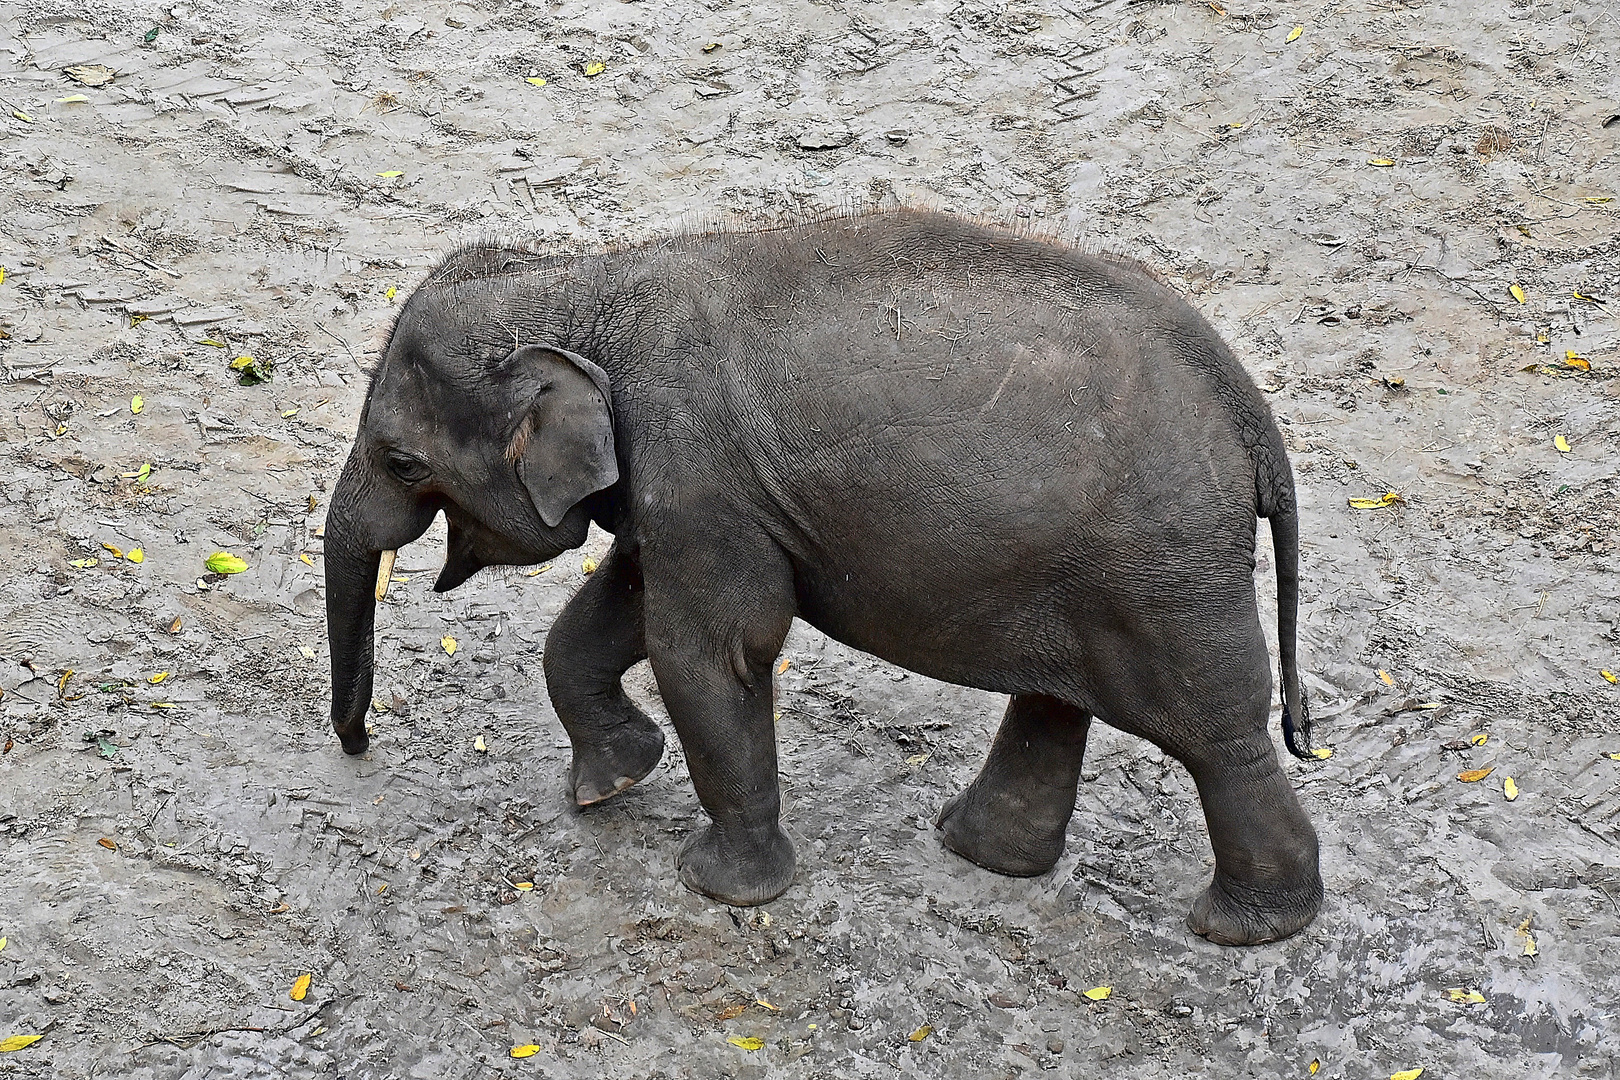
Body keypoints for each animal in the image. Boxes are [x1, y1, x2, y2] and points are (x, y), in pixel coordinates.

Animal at [322, 208, 1321, 945]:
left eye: (403, 462)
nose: (359, 745)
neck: (586, 283)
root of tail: (1251, 415)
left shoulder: (702, 476)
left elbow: (707, 648)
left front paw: (720, 890)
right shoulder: (687, 495)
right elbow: (616, 611)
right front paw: (612, 784)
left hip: (1163, 569)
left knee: (1216, 732)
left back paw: (1242, 930)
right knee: (1058, 697)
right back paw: (978, 852)